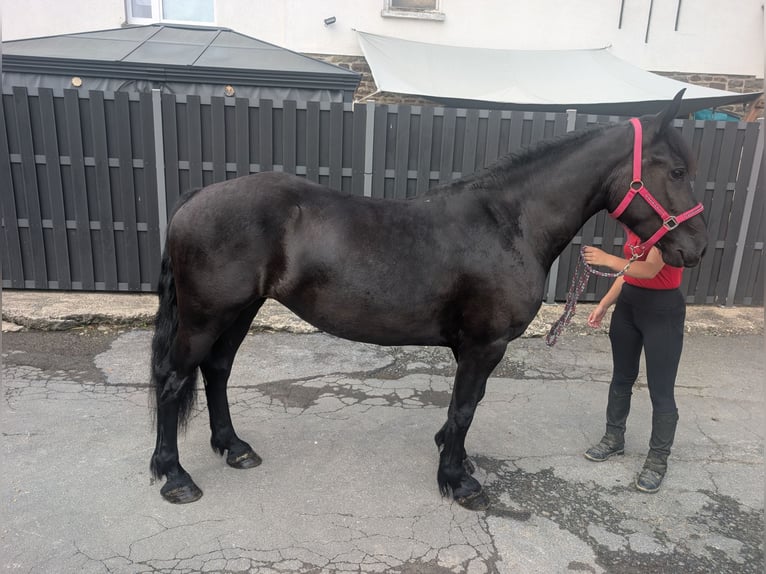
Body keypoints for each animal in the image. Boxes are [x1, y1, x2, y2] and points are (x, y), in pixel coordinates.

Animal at [149, 90, 707, 510]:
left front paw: (453, 459)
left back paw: (234, 448)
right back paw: (175, 477)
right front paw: (459, 483)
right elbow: (464, 409)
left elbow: (465, 408)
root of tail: (195, 199)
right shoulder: (484, 345)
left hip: (239, 312)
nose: (695, 248)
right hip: (206, 317)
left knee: (216, 370)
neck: (510, 223)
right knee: (174, 380)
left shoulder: (474, 348)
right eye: (677, 171)